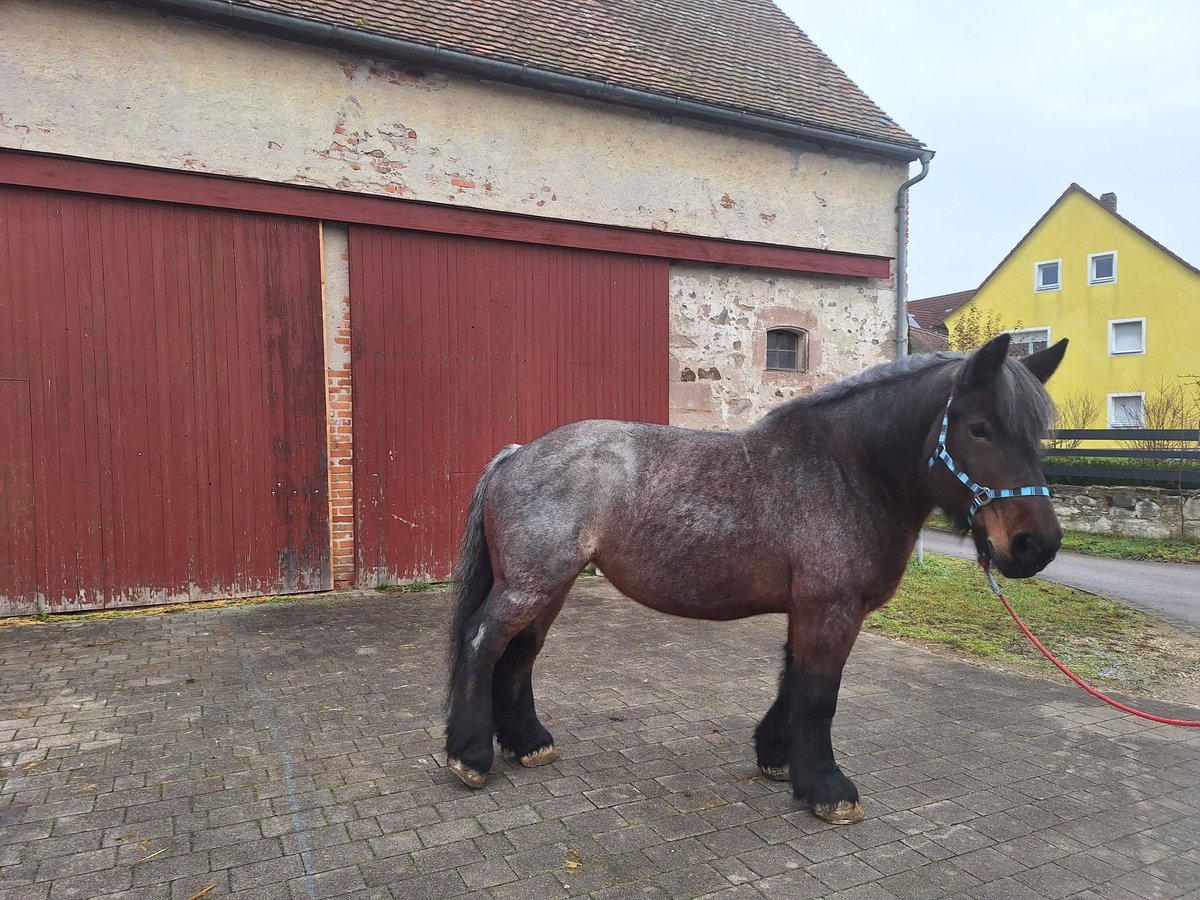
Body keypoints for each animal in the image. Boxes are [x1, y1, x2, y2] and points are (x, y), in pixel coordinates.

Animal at [445, 333, 1067, 824]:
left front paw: (777, 756)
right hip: (531, 584)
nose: (1035, 545)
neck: (849, 471)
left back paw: (528, 744)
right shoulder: (830, 607)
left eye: (1038, 435)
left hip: (550, 584)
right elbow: (819, 694)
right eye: (980, 428)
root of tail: (515, 454)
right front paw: (828, 790)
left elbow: (794, 680)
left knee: (519, 654)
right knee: (482, 643)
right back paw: (469, 757)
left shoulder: (809, 608)